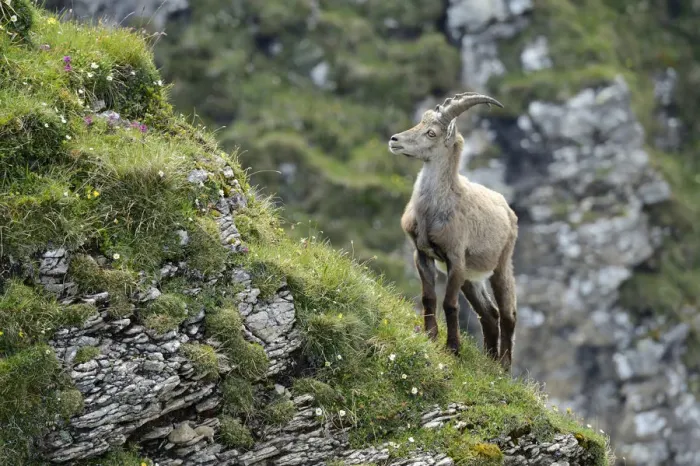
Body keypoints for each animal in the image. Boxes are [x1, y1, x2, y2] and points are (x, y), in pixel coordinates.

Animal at [388, 92, 518, 370]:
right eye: (421, 122)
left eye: (431, 132)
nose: (395, 140)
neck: (432, 212)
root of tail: (507, 209)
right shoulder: (422, 254)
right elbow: (428, 297)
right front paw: (430, 336)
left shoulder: (455, 259)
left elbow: (450, 304)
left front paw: (453, 348)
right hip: (471, 277)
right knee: (489, 313)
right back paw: (489, 360)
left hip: (501, 265)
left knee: (507, 312)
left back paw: (503, 365)